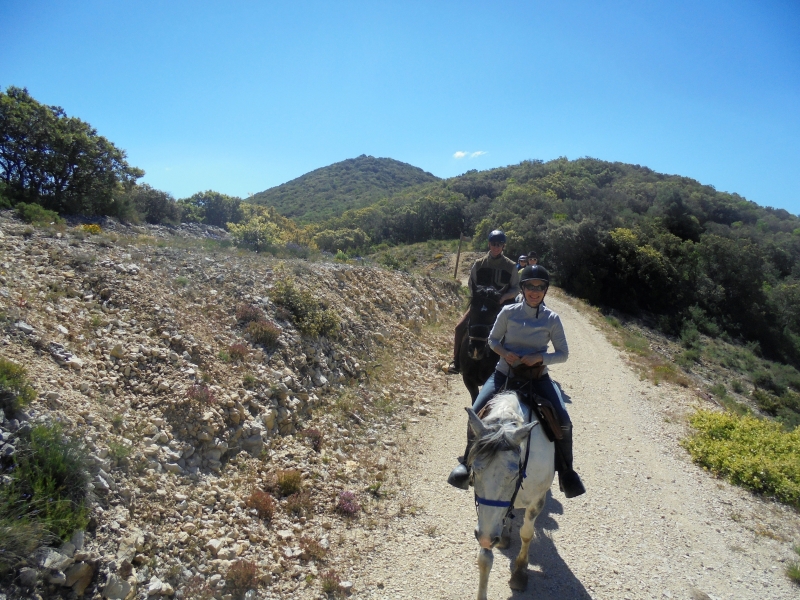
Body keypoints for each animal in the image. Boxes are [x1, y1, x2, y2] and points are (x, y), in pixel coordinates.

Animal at [466, 392, 552, 596]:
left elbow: (527, 534)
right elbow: (485, 558)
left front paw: (520, 572)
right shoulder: (486, 522)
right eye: (474, 469)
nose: (487, 537)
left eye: (514, 473)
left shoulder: (537, 501)